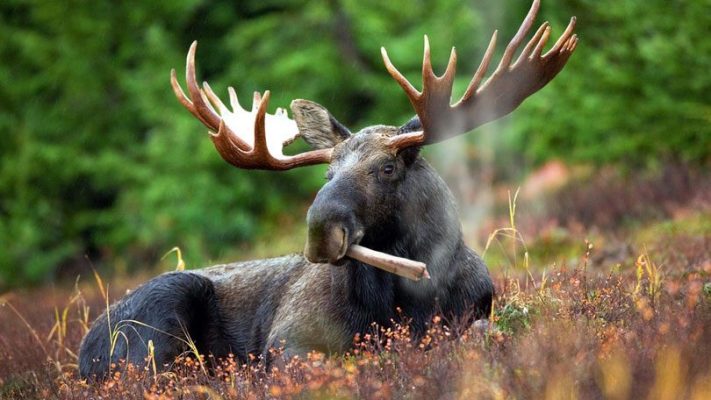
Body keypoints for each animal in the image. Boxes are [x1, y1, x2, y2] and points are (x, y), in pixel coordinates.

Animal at [79, 0, 577, 379]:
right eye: (327, 173)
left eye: (388, 167)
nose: (321, 230)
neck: (406, 302)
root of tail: (84, 352)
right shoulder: (288, 341)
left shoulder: (477, 313)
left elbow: (483, 333)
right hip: (161, 315)